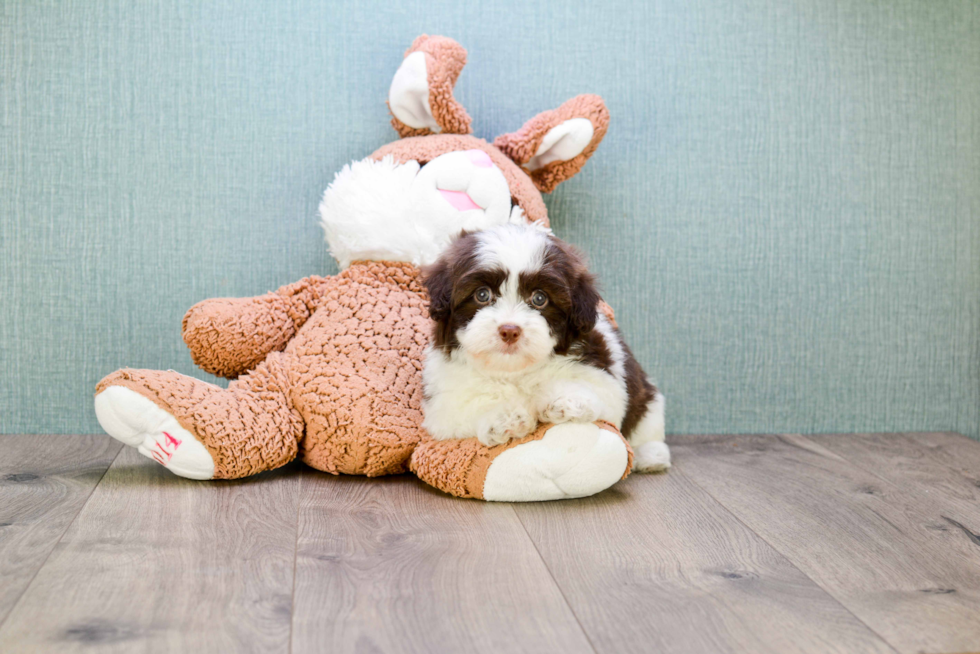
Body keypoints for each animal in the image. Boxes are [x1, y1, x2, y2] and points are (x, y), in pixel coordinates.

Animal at [418, 224, 668, 472]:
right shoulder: (441, 405)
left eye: (539, 298)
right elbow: (463, 408)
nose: (510, 330)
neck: (514, 371)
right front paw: (504, 416)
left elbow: (598, 391)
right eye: (482, 294)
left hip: (647, 397)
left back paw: (651, 455)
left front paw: (567, 399)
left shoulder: (605, 375)